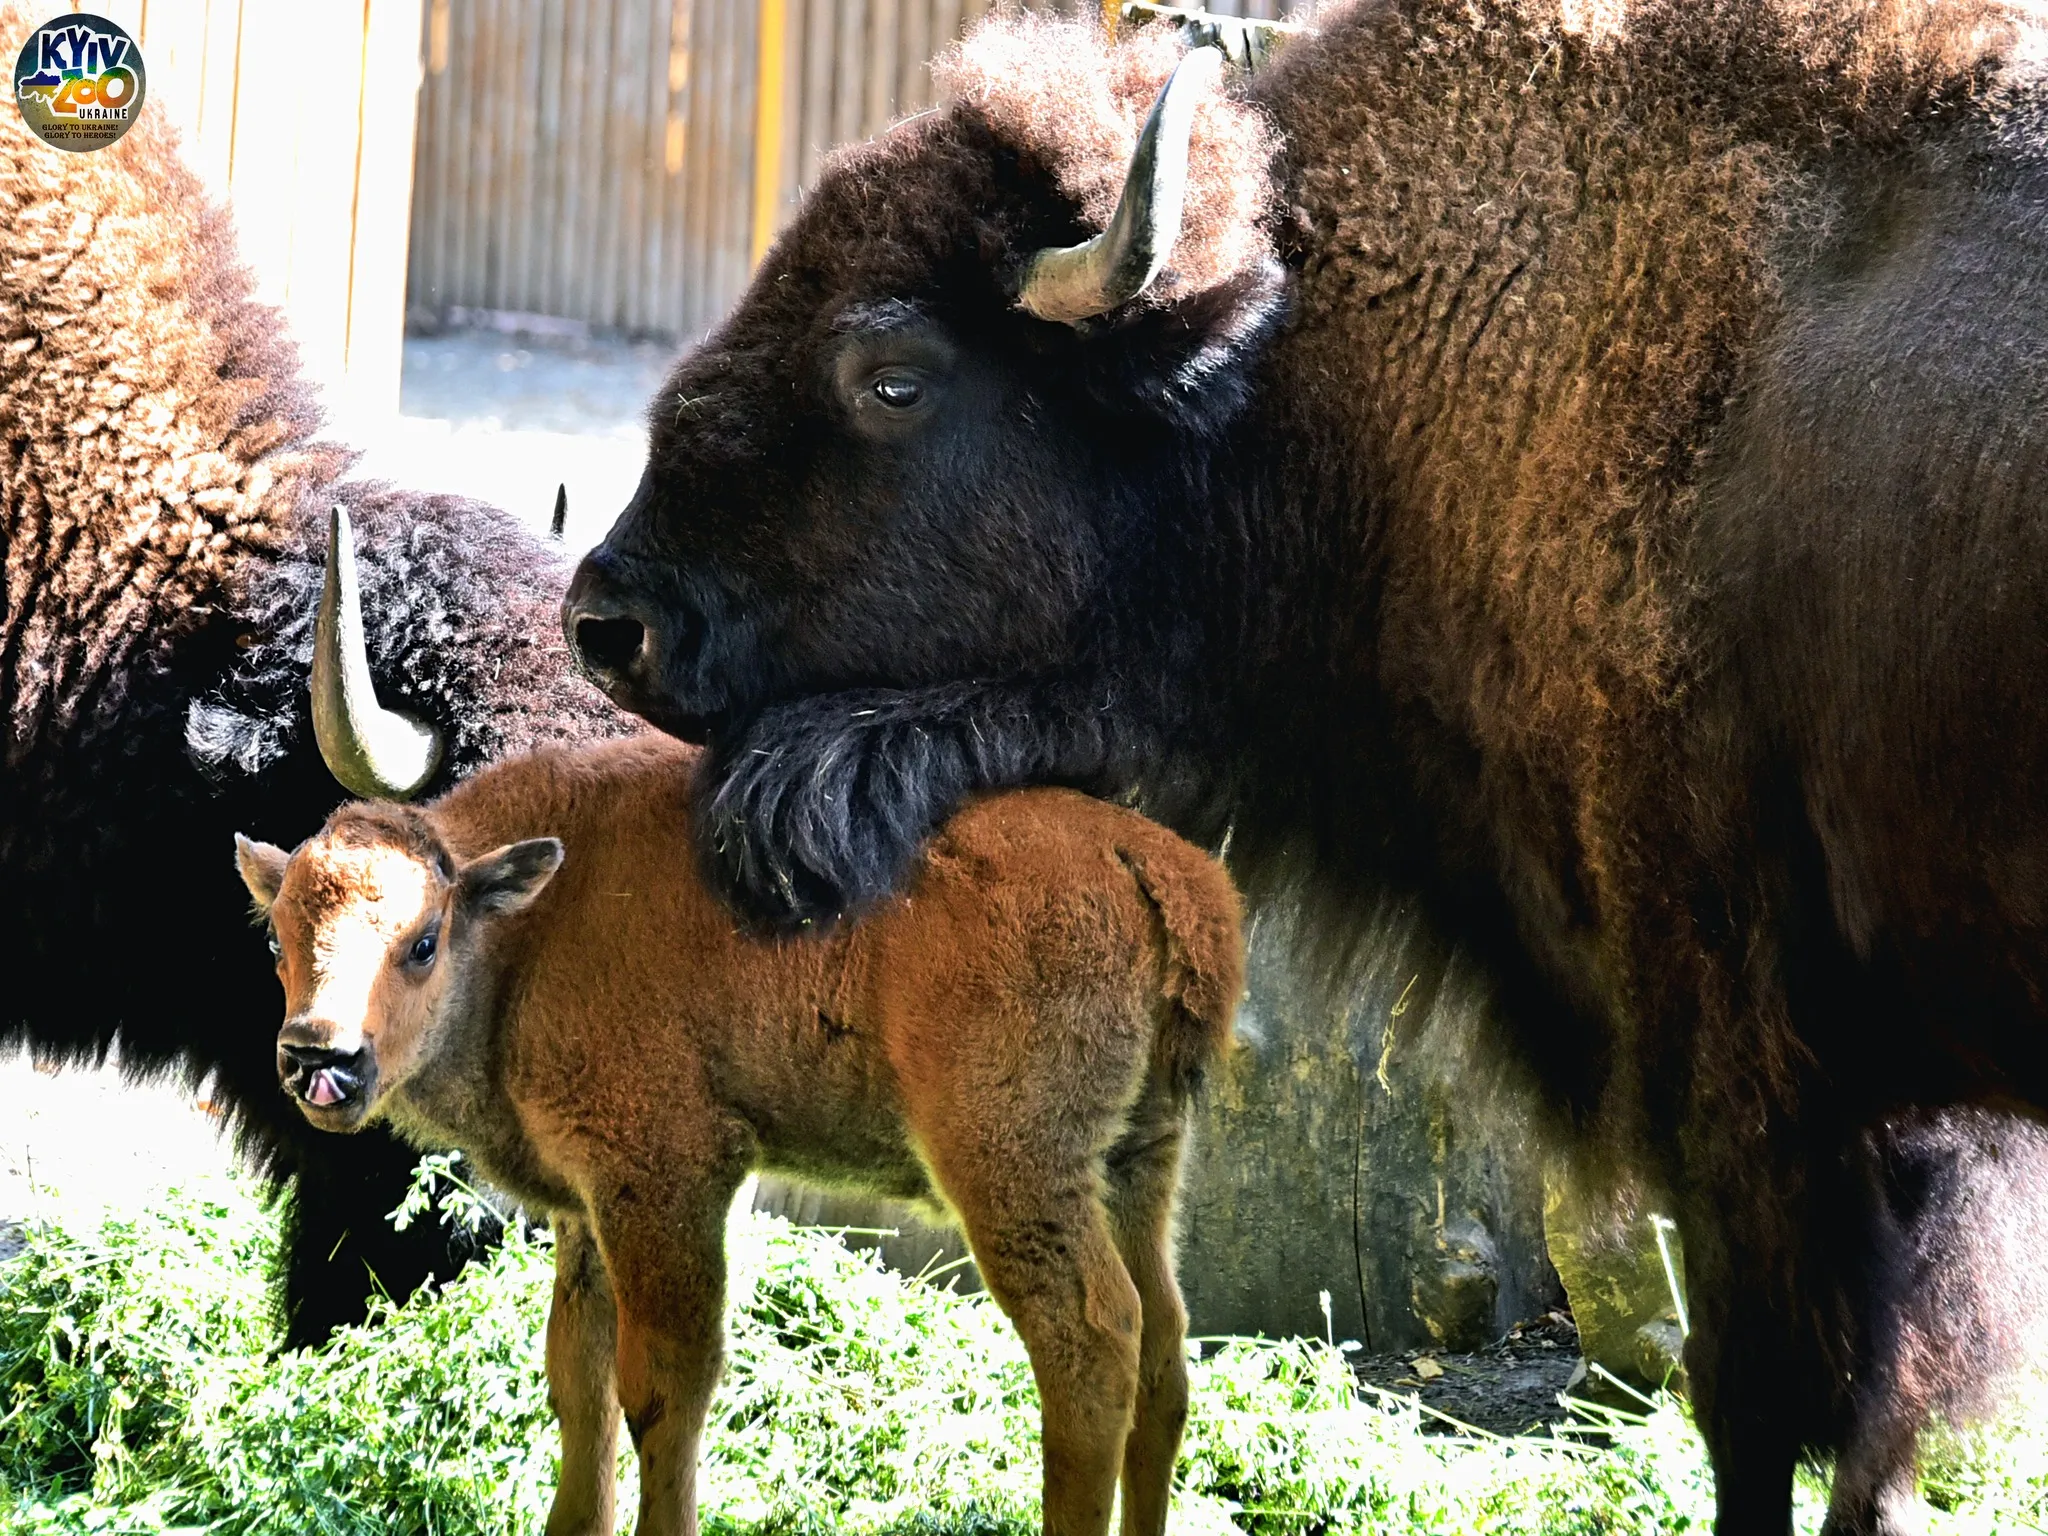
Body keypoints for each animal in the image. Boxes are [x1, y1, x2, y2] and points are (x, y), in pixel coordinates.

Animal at [234, 737, 1236, 1536]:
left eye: (423, 941)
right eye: (277, 941)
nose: (319, 1057)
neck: (536, 917)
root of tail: (1144, 858)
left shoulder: (666, 1180)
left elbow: (661, 1390)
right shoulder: (589, 1210)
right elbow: (577, 1381)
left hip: (1011, 1171)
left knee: (1092, 1343)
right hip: (1136, 1165)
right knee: (1163, 1351)